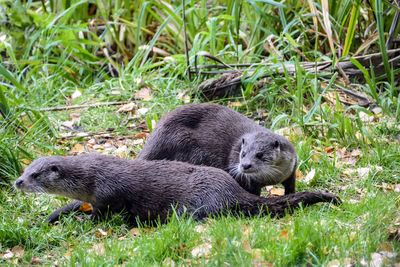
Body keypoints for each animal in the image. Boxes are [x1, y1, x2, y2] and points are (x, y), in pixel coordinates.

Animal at [138, 103, 296, 196]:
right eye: (243, 154)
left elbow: (290, 186)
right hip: (184, 144)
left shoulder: (291, 168)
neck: (271, 178)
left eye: (260, 154)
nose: (245, 165)